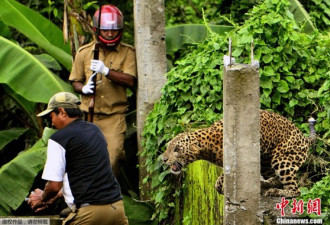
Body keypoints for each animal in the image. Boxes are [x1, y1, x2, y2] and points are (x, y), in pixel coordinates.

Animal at [163, 110, 318, 197]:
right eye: (167, 147)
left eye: (177, 149)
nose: (163, 159)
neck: (207, 146)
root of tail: (305, 138)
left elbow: (221, 178)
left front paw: (222, 187)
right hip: (267, 161)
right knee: (275, 178)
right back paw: (266, 184)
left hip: (282, 160)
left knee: (295, 190)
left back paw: (277, 192)